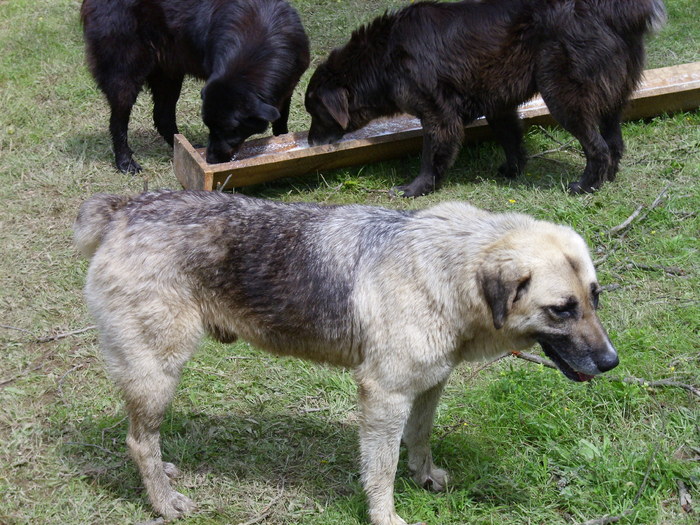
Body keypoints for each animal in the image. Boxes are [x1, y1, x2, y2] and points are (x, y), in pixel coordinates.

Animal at [72, 191, 616, 524]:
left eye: (594, 298)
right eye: (562, 309)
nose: (611, 363)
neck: (446, 270)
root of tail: (126, 207)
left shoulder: (428, 386)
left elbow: (419, 440)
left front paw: (424, 477)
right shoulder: (384, 397)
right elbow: (381, 469)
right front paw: (385, 516)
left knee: (145, 439)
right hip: (158, 372)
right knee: (138, 441)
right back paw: (163, 504)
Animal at [81, 0, 308, 173]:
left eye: (231, 129)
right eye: (209, 126)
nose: (210, 161)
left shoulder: (287, 88)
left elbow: (281, 122)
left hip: (170, 74)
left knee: (162, 116)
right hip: (125, 76)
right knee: (118, 122)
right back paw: (125, 162)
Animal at [306, 0, 668, 196]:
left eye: (314, 112)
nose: (309, 143)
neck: (382, 57)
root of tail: (607, 12)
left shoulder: (438, 115)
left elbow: (431, 156)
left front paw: (417, 188)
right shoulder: (500, 105)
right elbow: (511, 139)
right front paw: (512, 169)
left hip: (563, 97)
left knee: (599, 148)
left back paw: (585, 186)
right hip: (612, 99)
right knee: (614, 143)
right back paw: (607, 180)